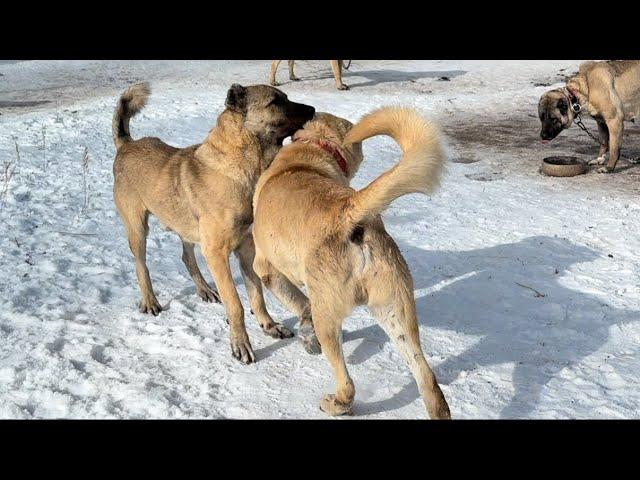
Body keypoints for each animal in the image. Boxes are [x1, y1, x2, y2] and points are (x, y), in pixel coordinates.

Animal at [114, 82, 318, 364]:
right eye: (275, 101)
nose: (313, 110)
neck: (241, 161)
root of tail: (127, 145)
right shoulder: (217, 254)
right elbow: (236, 303)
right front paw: (240, 344)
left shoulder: (246, 251)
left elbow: (257, 296)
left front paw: (269, 326)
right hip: (137, 228)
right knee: (141, 266)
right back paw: (150, 301)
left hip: (187, 227)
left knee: (187, 256)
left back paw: (204, 289)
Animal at [252, 107, 452, 418]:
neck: (311, 152)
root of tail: (350, 211)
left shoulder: (267, 269)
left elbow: (299, 303)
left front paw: (307, 336)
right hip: (396, 313)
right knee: (428, 380)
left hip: (329, 315)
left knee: (347, 383)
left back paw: (335, 403)